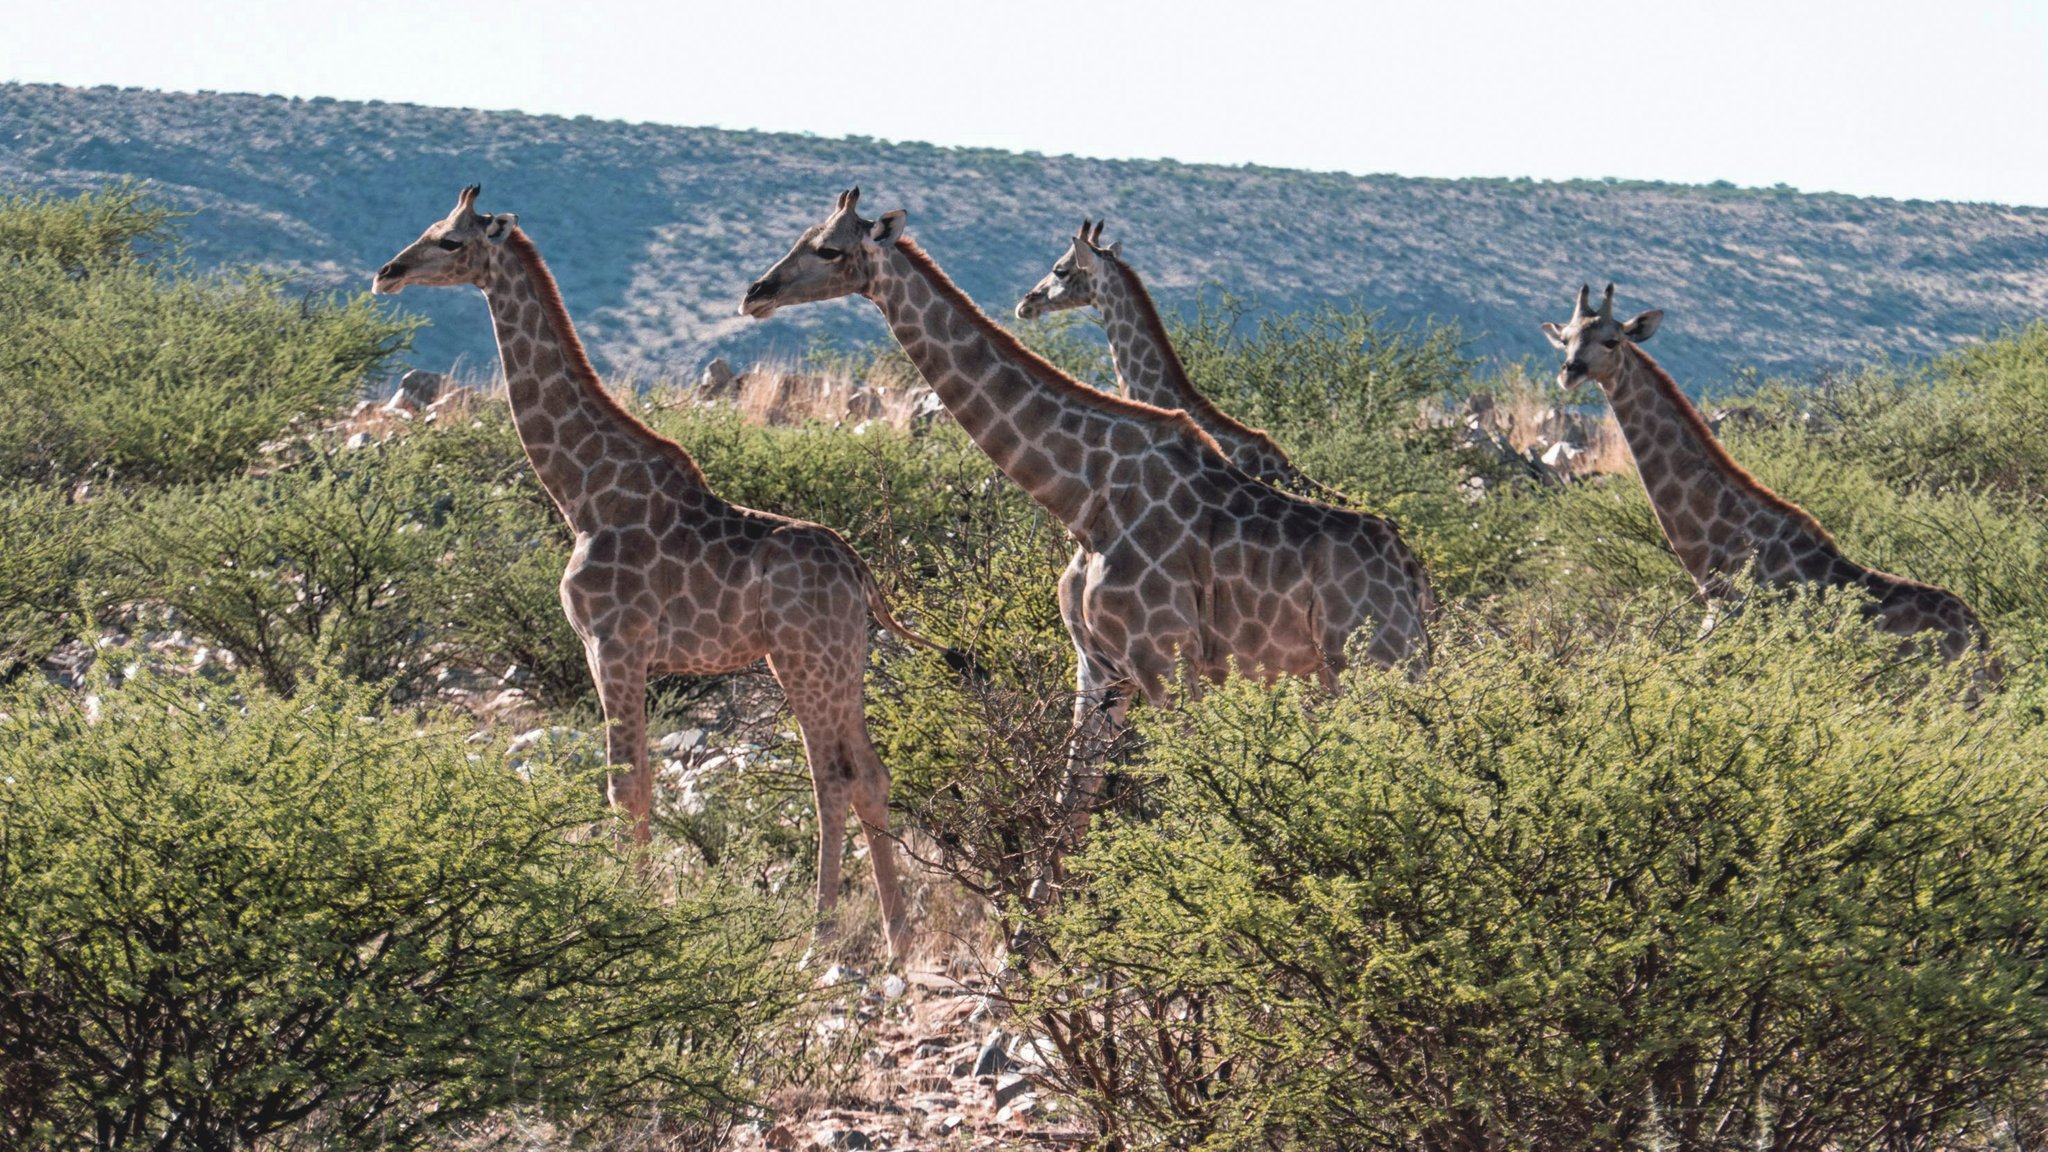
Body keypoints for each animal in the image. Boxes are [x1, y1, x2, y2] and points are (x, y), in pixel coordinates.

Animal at [376, 188, 937, 955]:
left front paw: (626, 911)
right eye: (430, 229)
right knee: (872, 776)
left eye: (450, 241)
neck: (584, 494)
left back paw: (818, 937)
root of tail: (860, 571)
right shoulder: (625, 654)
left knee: (830, 779)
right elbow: (637, 781)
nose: (388, 273)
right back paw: (897, 940)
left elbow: (627, 786)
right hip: (843, 661)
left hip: (801, 660)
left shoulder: (611, 645)